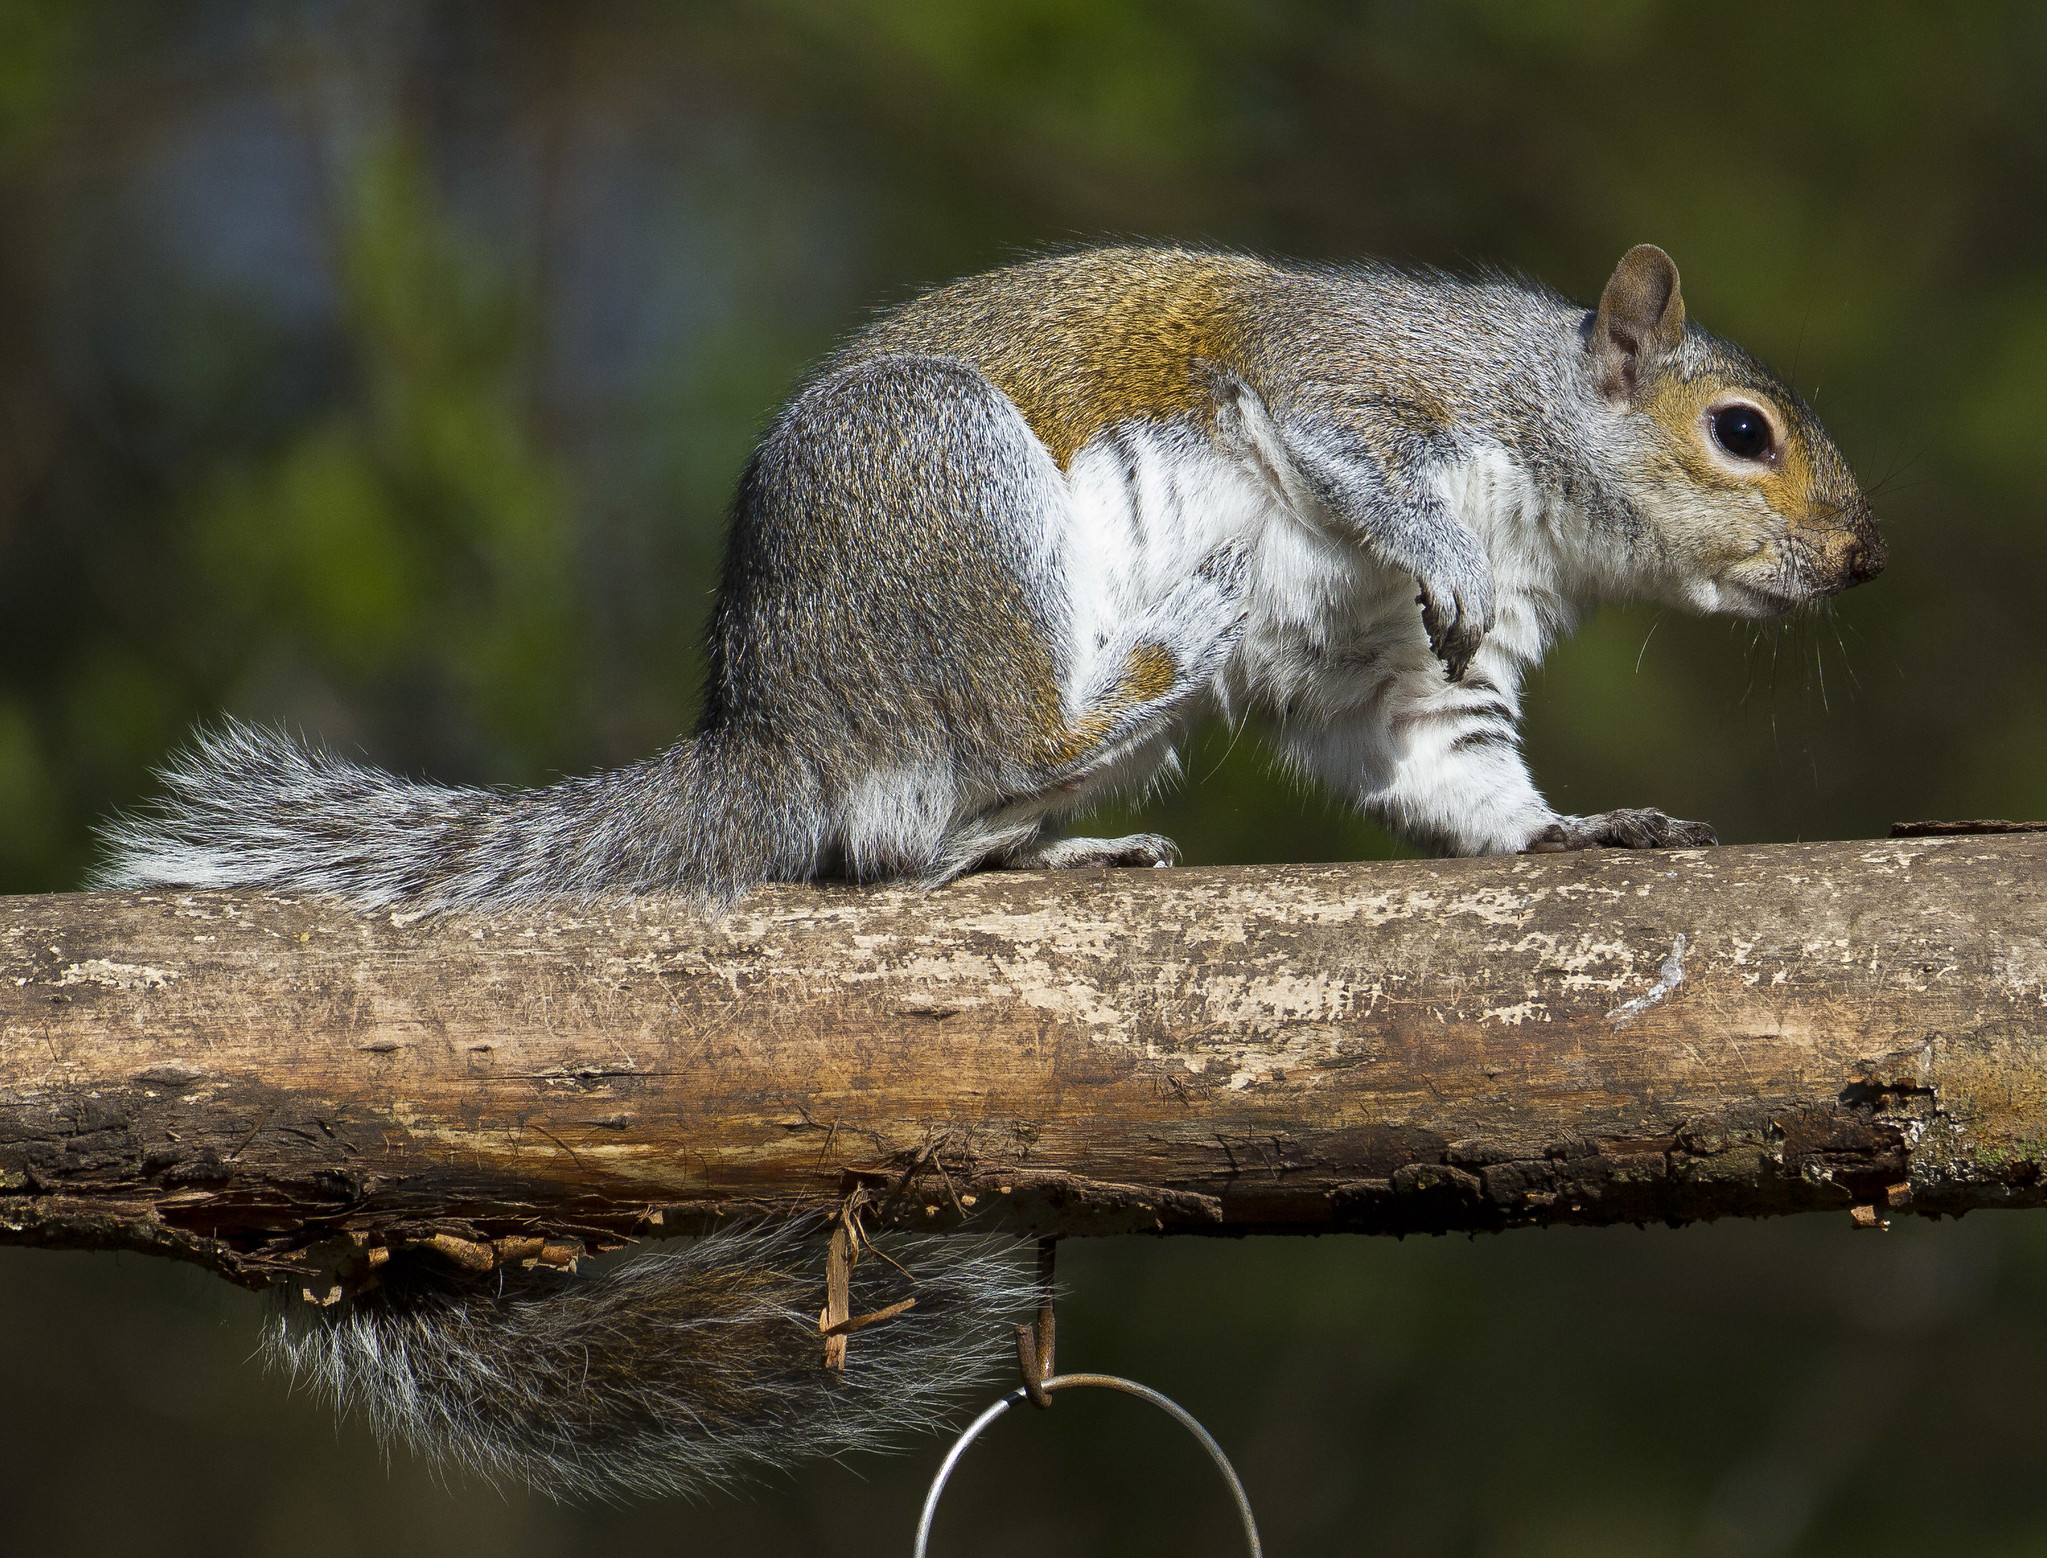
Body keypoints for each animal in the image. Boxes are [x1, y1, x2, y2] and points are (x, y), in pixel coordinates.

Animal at [100, 243, 1883, 1499]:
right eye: (1739, 433)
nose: (1862, 560)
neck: (1535, 460)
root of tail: (775, 719)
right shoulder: (1353, 388)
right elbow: (1347, 445)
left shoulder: (1401, 683)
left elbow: (1453, 772)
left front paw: (1572, 830)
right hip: (947, 496)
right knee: (930, 800)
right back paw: (1151, 662)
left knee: (929, 832)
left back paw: (1065, 834)